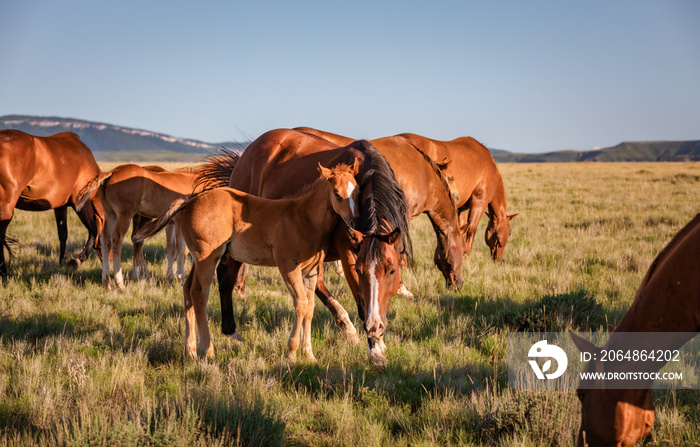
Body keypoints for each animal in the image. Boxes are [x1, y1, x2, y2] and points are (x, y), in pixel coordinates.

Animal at [0, 128, 104, 278]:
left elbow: (63, 233)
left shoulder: (60, 206)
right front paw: (76, 261)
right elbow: (94, 231)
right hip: (7, 206)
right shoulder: (81, 205)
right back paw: (4, 273)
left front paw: (63, 261)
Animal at [134, 161, 360, 360]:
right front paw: (292, 352)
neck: (302, 218)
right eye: (337, 193)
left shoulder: (310, 271)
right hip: (208, 258)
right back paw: (208, 350)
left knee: (187, 290)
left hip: (198, 259)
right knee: (199, 294)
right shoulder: (288, 266)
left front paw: (309, 354)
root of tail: (191, 200)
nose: (354, 223)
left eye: (357, 191)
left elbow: (310, 307)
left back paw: (190, 350)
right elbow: (301, 303)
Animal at [197, 130, 412, 368]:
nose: (375, 327)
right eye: (360, 270)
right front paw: (374, 349)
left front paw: (378, 341)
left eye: (392, 270)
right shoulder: (348, 256)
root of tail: (247, 154)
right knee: (226, 276)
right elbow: (363, 302)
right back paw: (231, 331)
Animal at [292, 128, 516, 262]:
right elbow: (470, 230)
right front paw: (466, 256)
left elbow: (458, 229)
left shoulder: (459, 208)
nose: (499, 259)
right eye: (505, 235)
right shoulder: (479, 201)